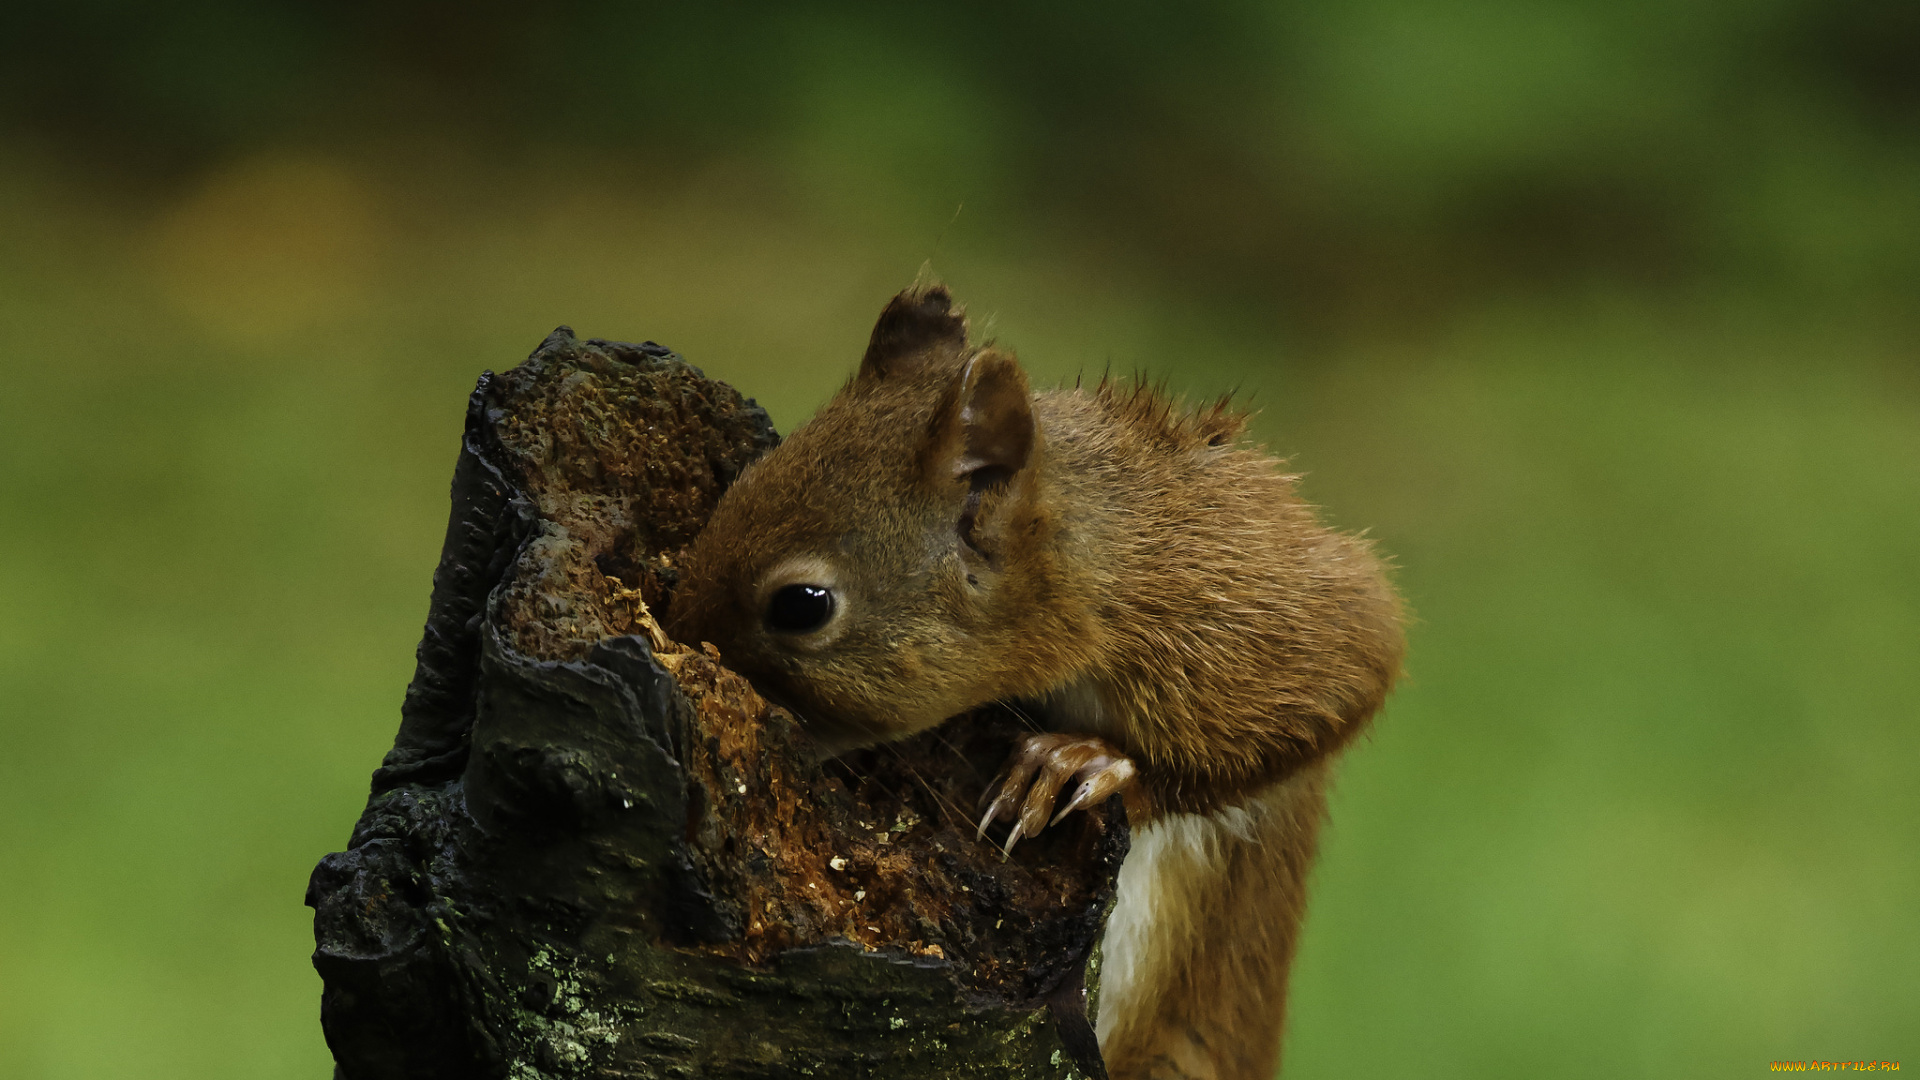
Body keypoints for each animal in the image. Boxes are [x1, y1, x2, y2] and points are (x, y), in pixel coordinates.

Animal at [668, 284, 1405, 1076]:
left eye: (802, 605)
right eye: (738, 487)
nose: (676, 636)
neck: (1100, 552)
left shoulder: (1244, 613)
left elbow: (1347, 677)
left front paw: (1082, 766)